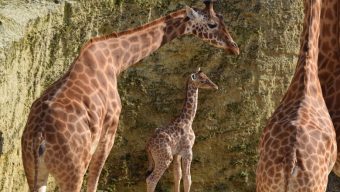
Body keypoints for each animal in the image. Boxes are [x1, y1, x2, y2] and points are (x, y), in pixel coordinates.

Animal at [20, 0, 239, 192]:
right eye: (212, 24)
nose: (234, 47)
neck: (116, 61)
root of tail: (38, 137)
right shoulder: (109, 131)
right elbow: (94, 181)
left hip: (33, 171)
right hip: (72, 171)